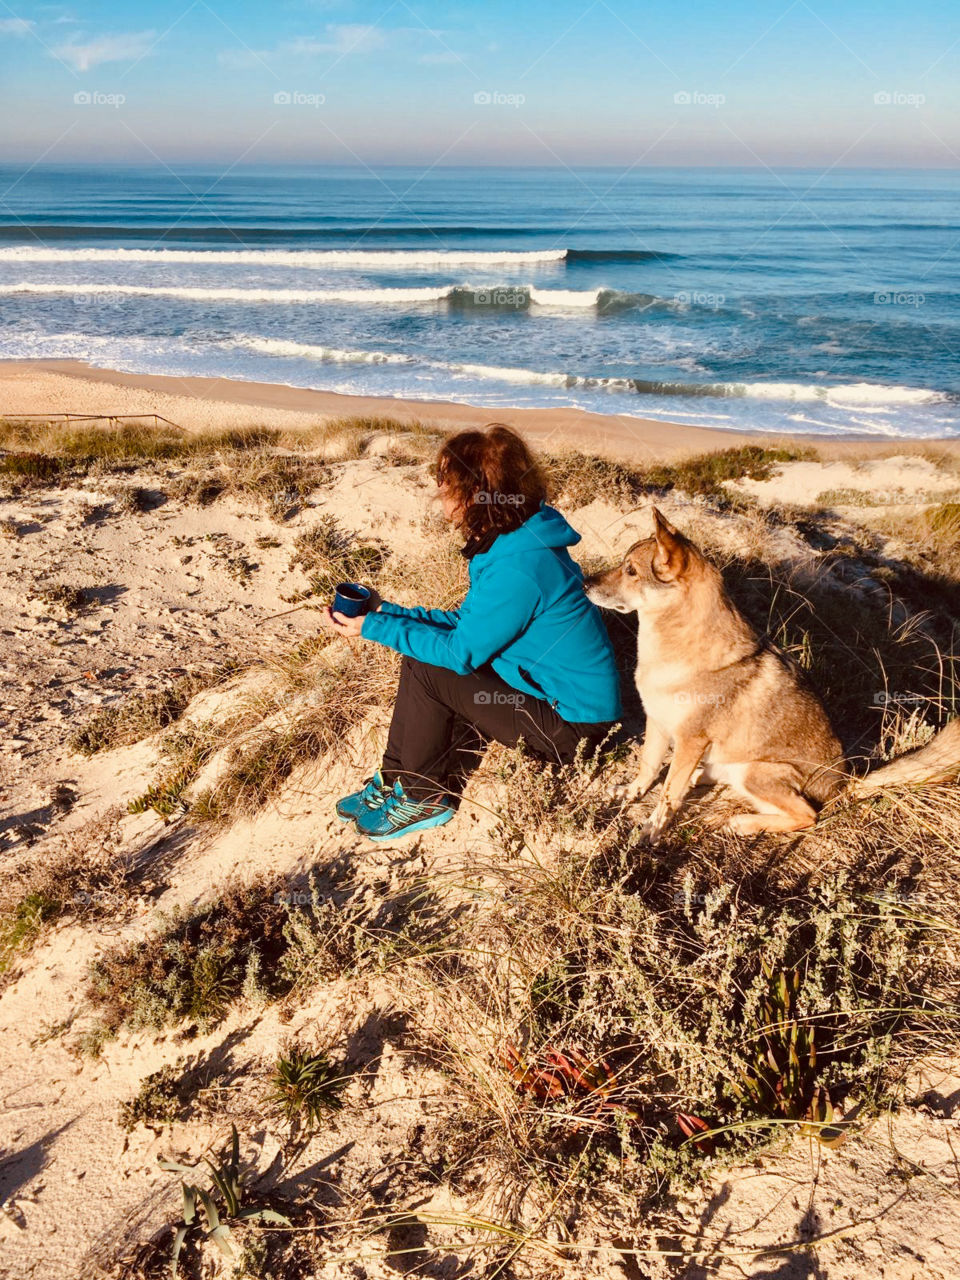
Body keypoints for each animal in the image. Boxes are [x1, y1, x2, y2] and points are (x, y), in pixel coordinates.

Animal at [586, 504, 960, 844]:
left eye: (630, 570)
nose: (585, 582)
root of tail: (843, 785)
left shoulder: (690, 739)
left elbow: (668, 795)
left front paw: (652, 829)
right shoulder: (658, 724)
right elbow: (649, 768)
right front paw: (631, 793)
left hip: (757, 772)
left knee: (807, 815)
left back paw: (743, 823)